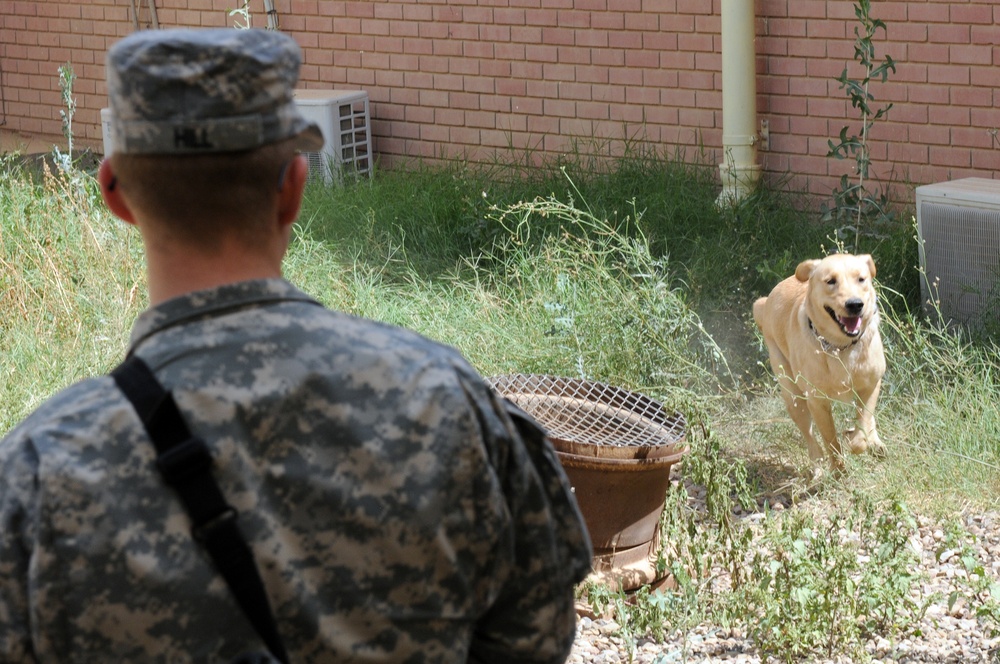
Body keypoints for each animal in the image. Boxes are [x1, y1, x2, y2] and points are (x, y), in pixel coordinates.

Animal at [752, 252, 888, 474]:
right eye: (831, 281)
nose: (855, 304)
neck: (840, 346)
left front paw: (860, 441)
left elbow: (863, 423)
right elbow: (830, 440)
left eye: (861, 279)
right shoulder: (817, 402)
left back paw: (875, 442)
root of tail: (766, 303)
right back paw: (817, 469)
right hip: (793, 396)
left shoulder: (870, 386)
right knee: (810, 439)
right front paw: (838, 470)